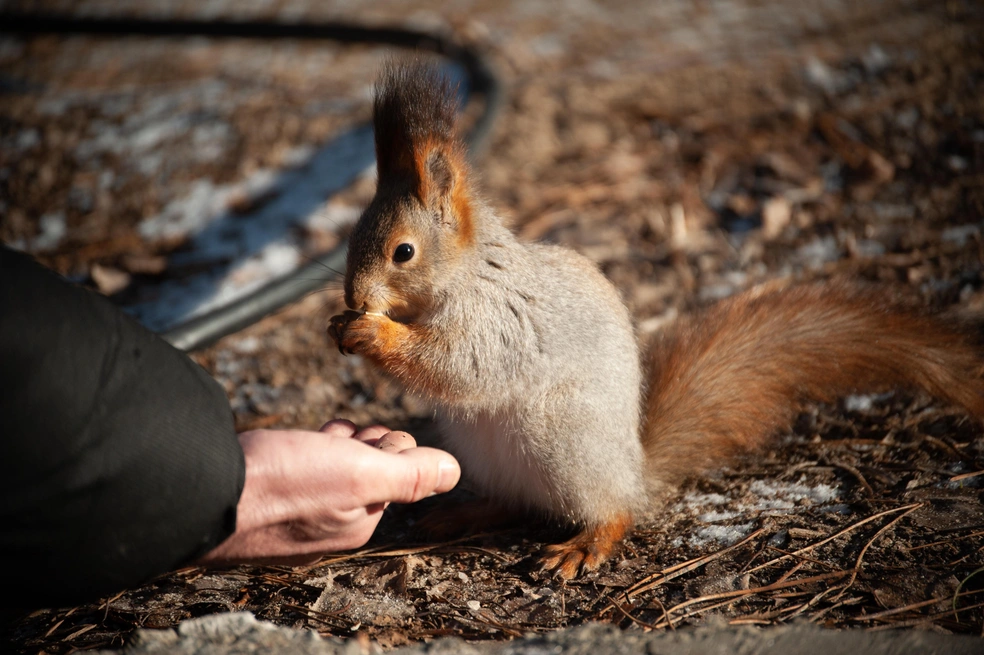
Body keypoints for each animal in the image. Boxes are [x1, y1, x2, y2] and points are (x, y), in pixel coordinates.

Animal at [330, 60, 984, 580]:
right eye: (354, 233)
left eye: (403, 252)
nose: (354, 295)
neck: (465, 273)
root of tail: (636, 472)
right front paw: (341, 324)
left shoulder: (499, 321)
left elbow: (459, 364)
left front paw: (371, 331)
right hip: (488, 454)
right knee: (514, 502)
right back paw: (461, 511)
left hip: (567, 441)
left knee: (608, 511)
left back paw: (586, 544)